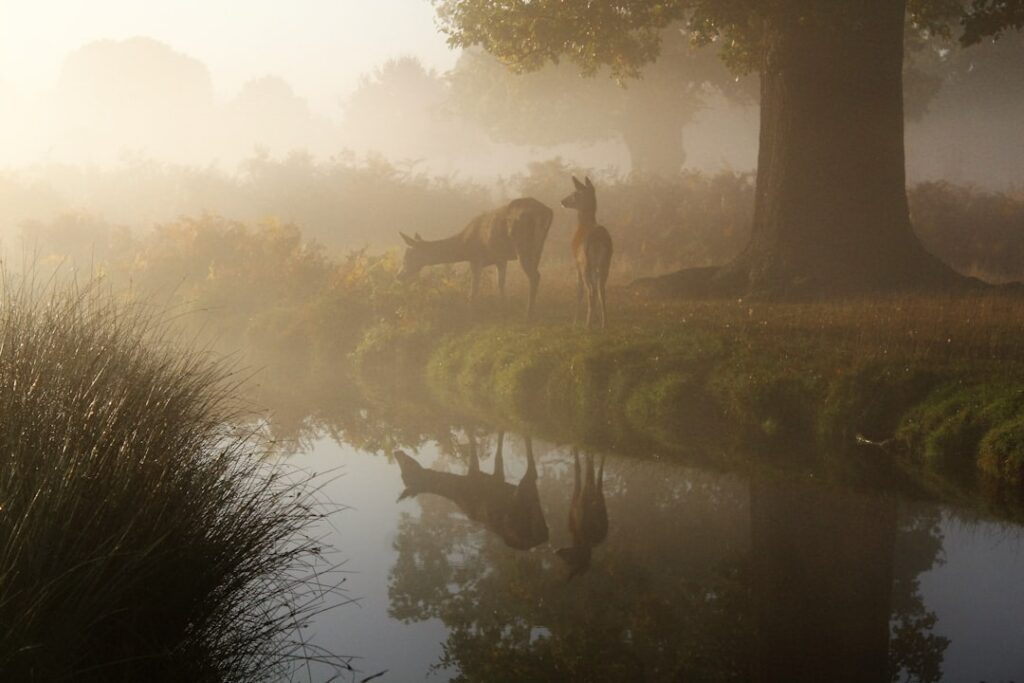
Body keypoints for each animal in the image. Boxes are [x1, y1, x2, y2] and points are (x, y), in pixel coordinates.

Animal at [393, 436, 552, 552]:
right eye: (404, 475)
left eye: (407, 469)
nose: (397, 452)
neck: (460, 488)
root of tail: (544, 536)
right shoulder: (493, 478)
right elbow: (496, 454)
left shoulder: (481, 476)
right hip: (527, 497)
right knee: (533, 473)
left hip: (523, 496)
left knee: (532, 471)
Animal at [395, 197, 552, 321]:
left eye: (408, 255)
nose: (398, 275)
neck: (464, 246)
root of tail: (546, 212)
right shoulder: (500, 258)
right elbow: (500, 284)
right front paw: (503, 309)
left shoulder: (476, 258)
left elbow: (473, 290)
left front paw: (470, 315)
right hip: (539, 246)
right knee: (536, 274)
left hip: (522, 243)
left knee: (534, 276)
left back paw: (528, 314)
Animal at [565, 178, 610, 329]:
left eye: (575, 193)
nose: (563, 201)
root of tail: (598, 238)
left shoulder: (576, 261)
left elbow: (579, 290)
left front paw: (574, 322)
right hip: (606, 263)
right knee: (601, 289)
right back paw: (603, 324)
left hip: (586, 262)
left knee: (590, 290)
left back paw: (587, 324)